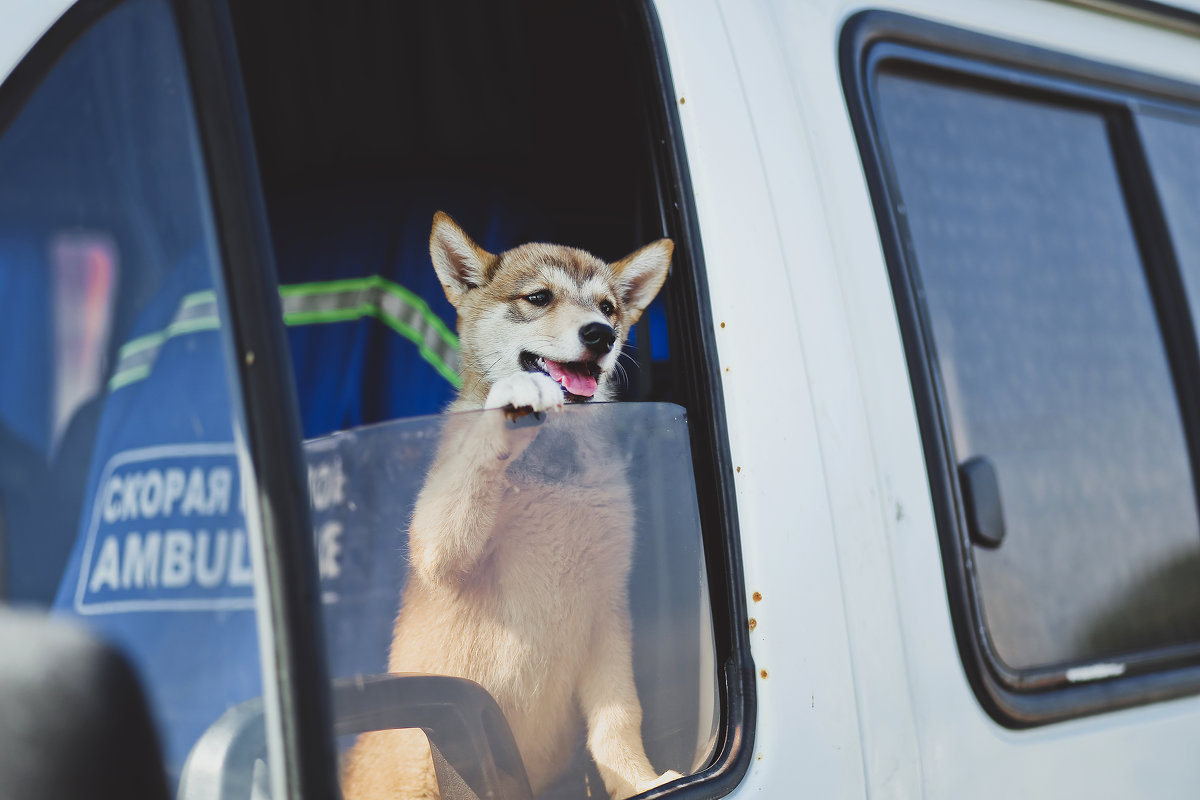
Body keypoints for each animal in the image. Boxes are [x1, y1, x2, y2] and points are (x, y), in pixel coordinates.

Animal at [345, 212, 686, 800]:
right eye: (538, 297)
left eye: (608, 308)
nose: (600, 335)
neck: (554, 469)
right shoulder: (439, 553)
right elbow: (468, 483)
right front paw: (508, 410)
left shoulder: (606, 608)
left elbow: (619, 721)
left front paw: (638, 781)